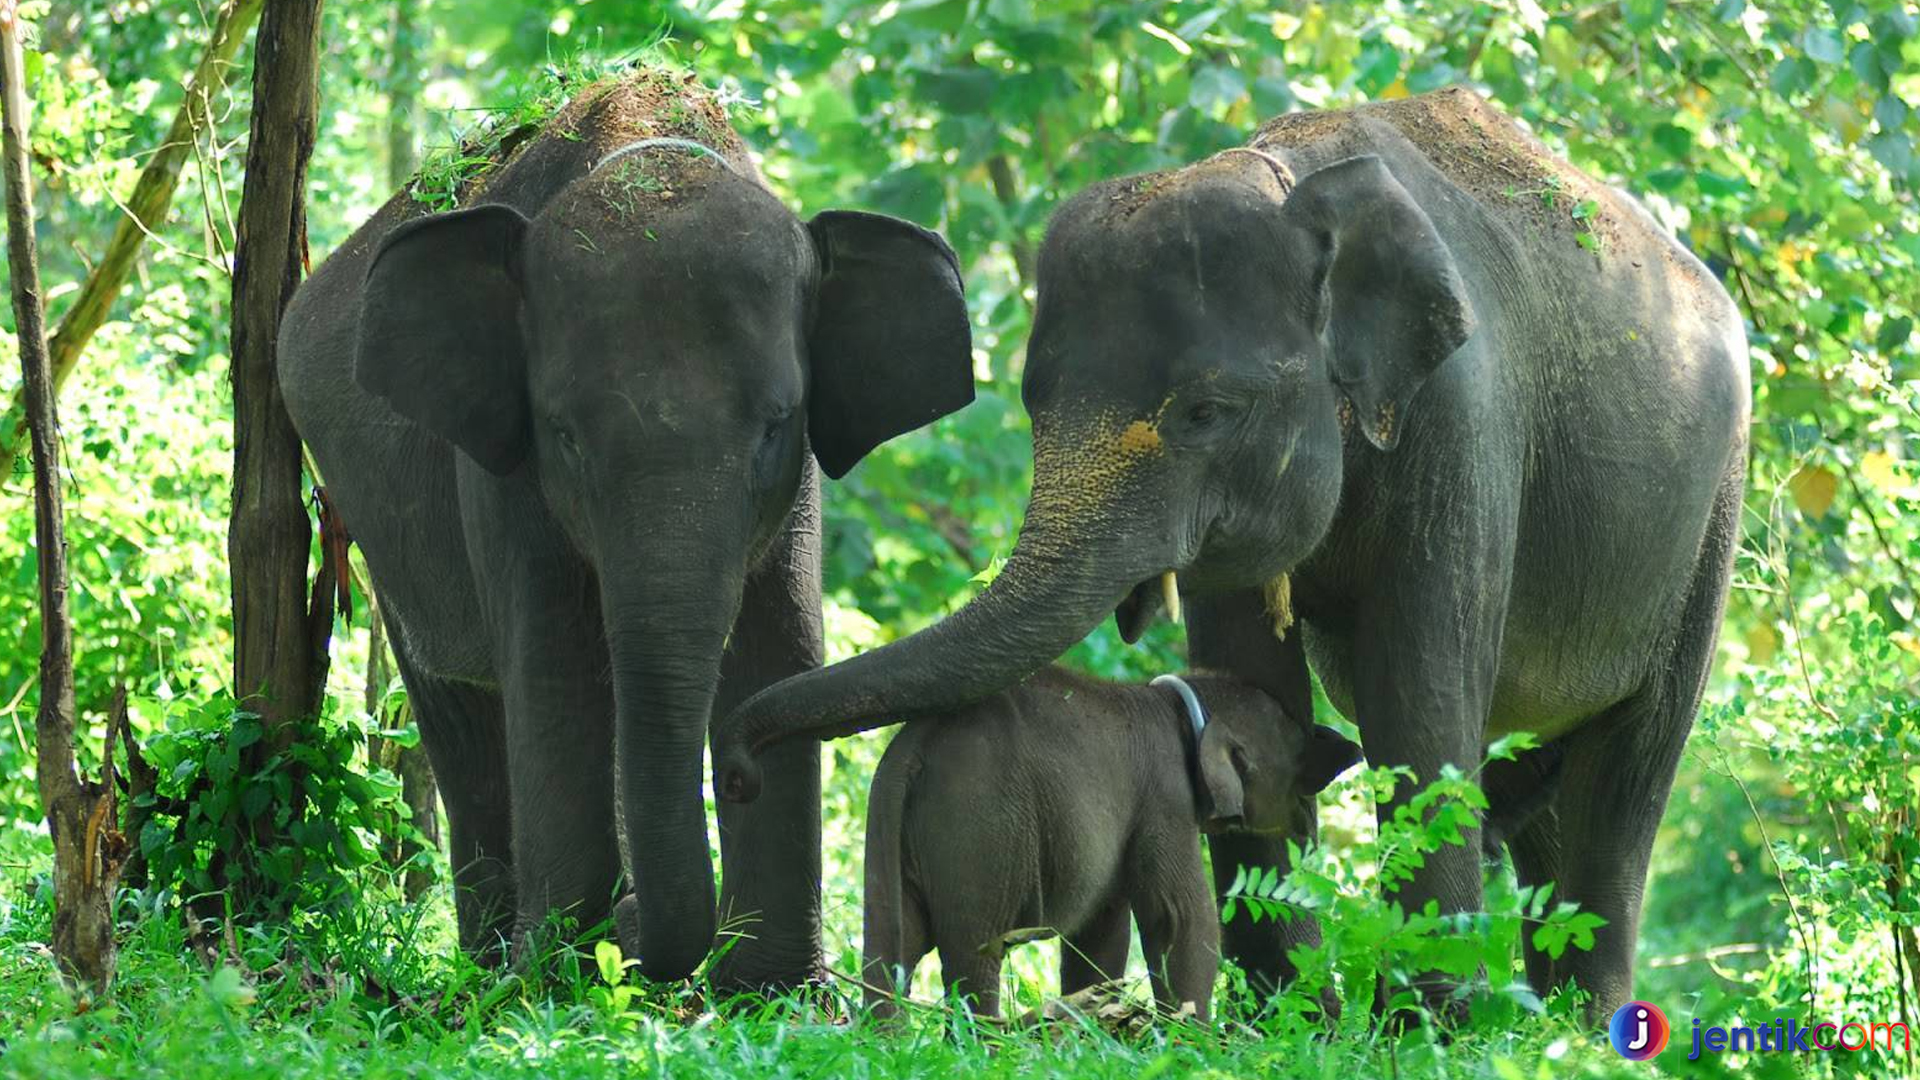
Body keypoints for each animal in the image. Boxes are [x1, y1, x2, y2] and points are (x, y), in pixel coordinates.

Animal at [274, 69, 975, 983]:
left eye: (776, 425)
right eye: (565, 434)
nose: (737, 777)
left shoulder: (799, 483)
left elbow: (780, 641)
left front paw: (769, 989)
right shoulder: (501, 468)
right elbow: (555, 659)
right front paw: (556, 975)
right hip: (374, 529)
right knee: (459, 715)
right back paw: (494, 962)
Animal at [844, 664, 1367, 1014]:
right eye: (1295, 746)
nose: (1351, 747)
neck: (1180, 702)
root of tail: (912, 747)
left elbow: (1101, 935)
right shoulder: (1165, 797)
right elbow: (1179, 919)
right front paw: (1192, 1038)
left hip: (898, 835)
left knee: (891, 947)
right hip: (979, 830)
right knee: (975, 957)